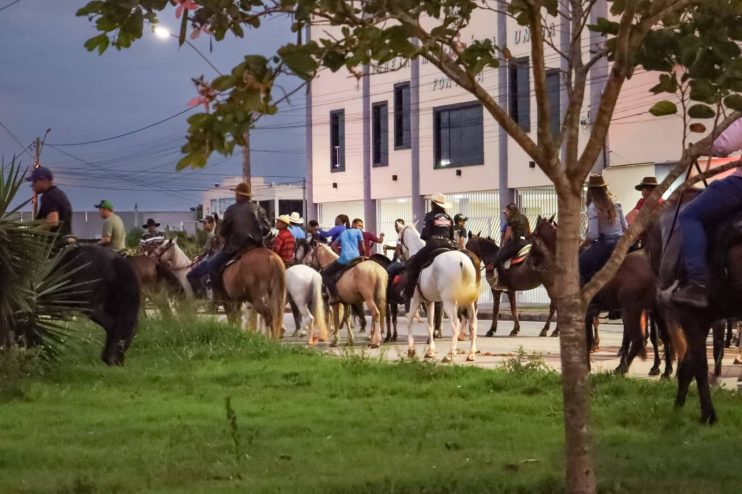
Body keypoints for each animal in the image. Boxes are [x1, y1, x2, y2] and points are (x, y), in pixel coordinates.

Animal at [398, 226, 480, 360]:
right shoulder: (429, 302)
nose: (400, 257)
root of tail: (463, 261)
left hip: (449, 302)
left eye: (399, 239)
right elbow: (430, 325)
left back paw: (450, 354)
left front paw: (411, 349)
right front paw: (430, 351)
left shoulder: (413, 299)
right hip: (470, 302)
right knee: (472, 323)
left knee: (455, 323)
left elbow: (409, 320)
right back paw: (471, 353)